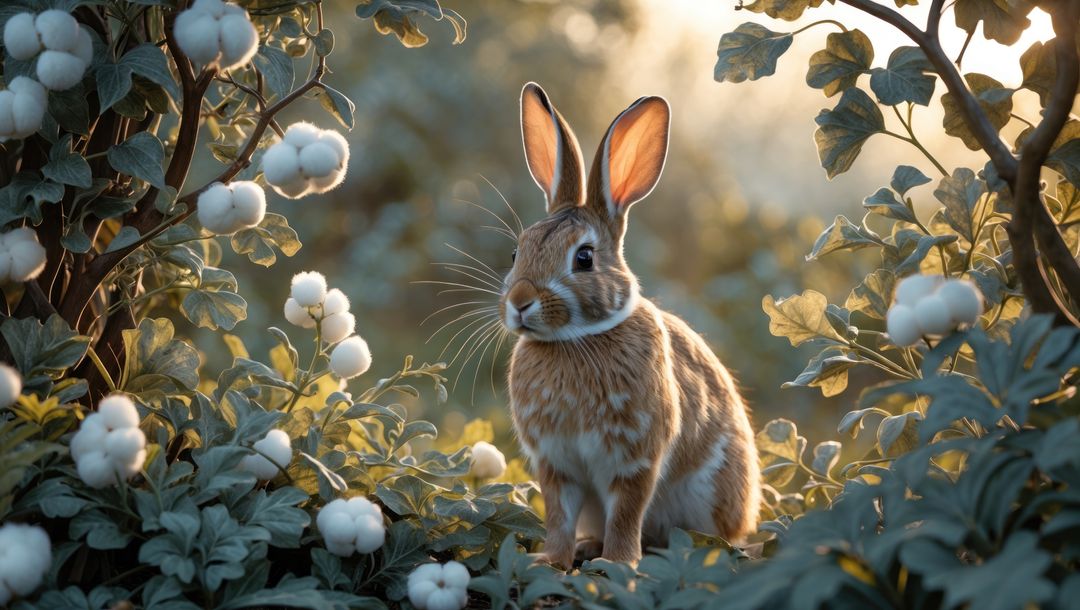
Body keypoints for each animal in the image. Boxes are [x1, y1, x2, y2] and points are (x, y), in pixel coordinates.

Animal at [499, 83, 761, 568]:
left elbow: (626, 510)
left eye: (584, 258)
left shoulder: (634, 457)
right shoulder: (556, 463)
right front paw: (549, 560)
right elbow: (558, 516)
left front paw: (617, 565)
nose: (520, 302)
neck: (575, 339)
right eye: (516, 251)